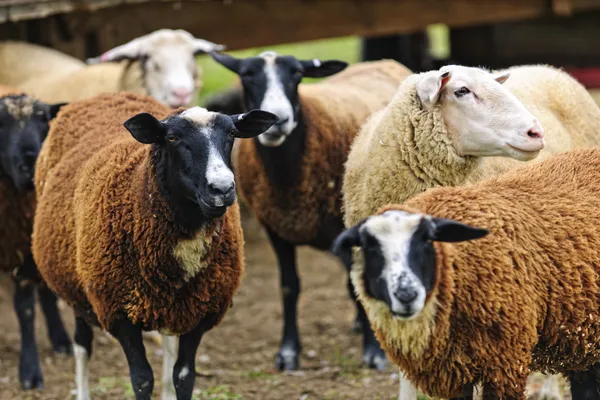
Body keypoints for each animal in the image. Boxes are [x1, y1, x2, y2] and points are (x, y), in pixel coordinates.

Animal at [30, 91, 278, 400]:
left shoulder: (201, 311)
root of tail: (107, 95)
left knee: (167, 348)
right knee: (82, 344)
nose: (222, 189)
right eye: (171, 138)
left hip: (169, 305)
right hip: (75, 287)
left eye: (232, 134)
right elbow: (141, 379)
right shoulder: (119, 313)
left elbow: (183, 376)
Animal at [210, 50, 412, 372]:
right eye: (246, 75)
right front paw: (288, 352)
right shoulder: (275, 228)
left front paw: (373, 353)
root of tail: (382, 61)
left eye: (296, 74)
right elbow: (289, 287)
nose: (278, 119)